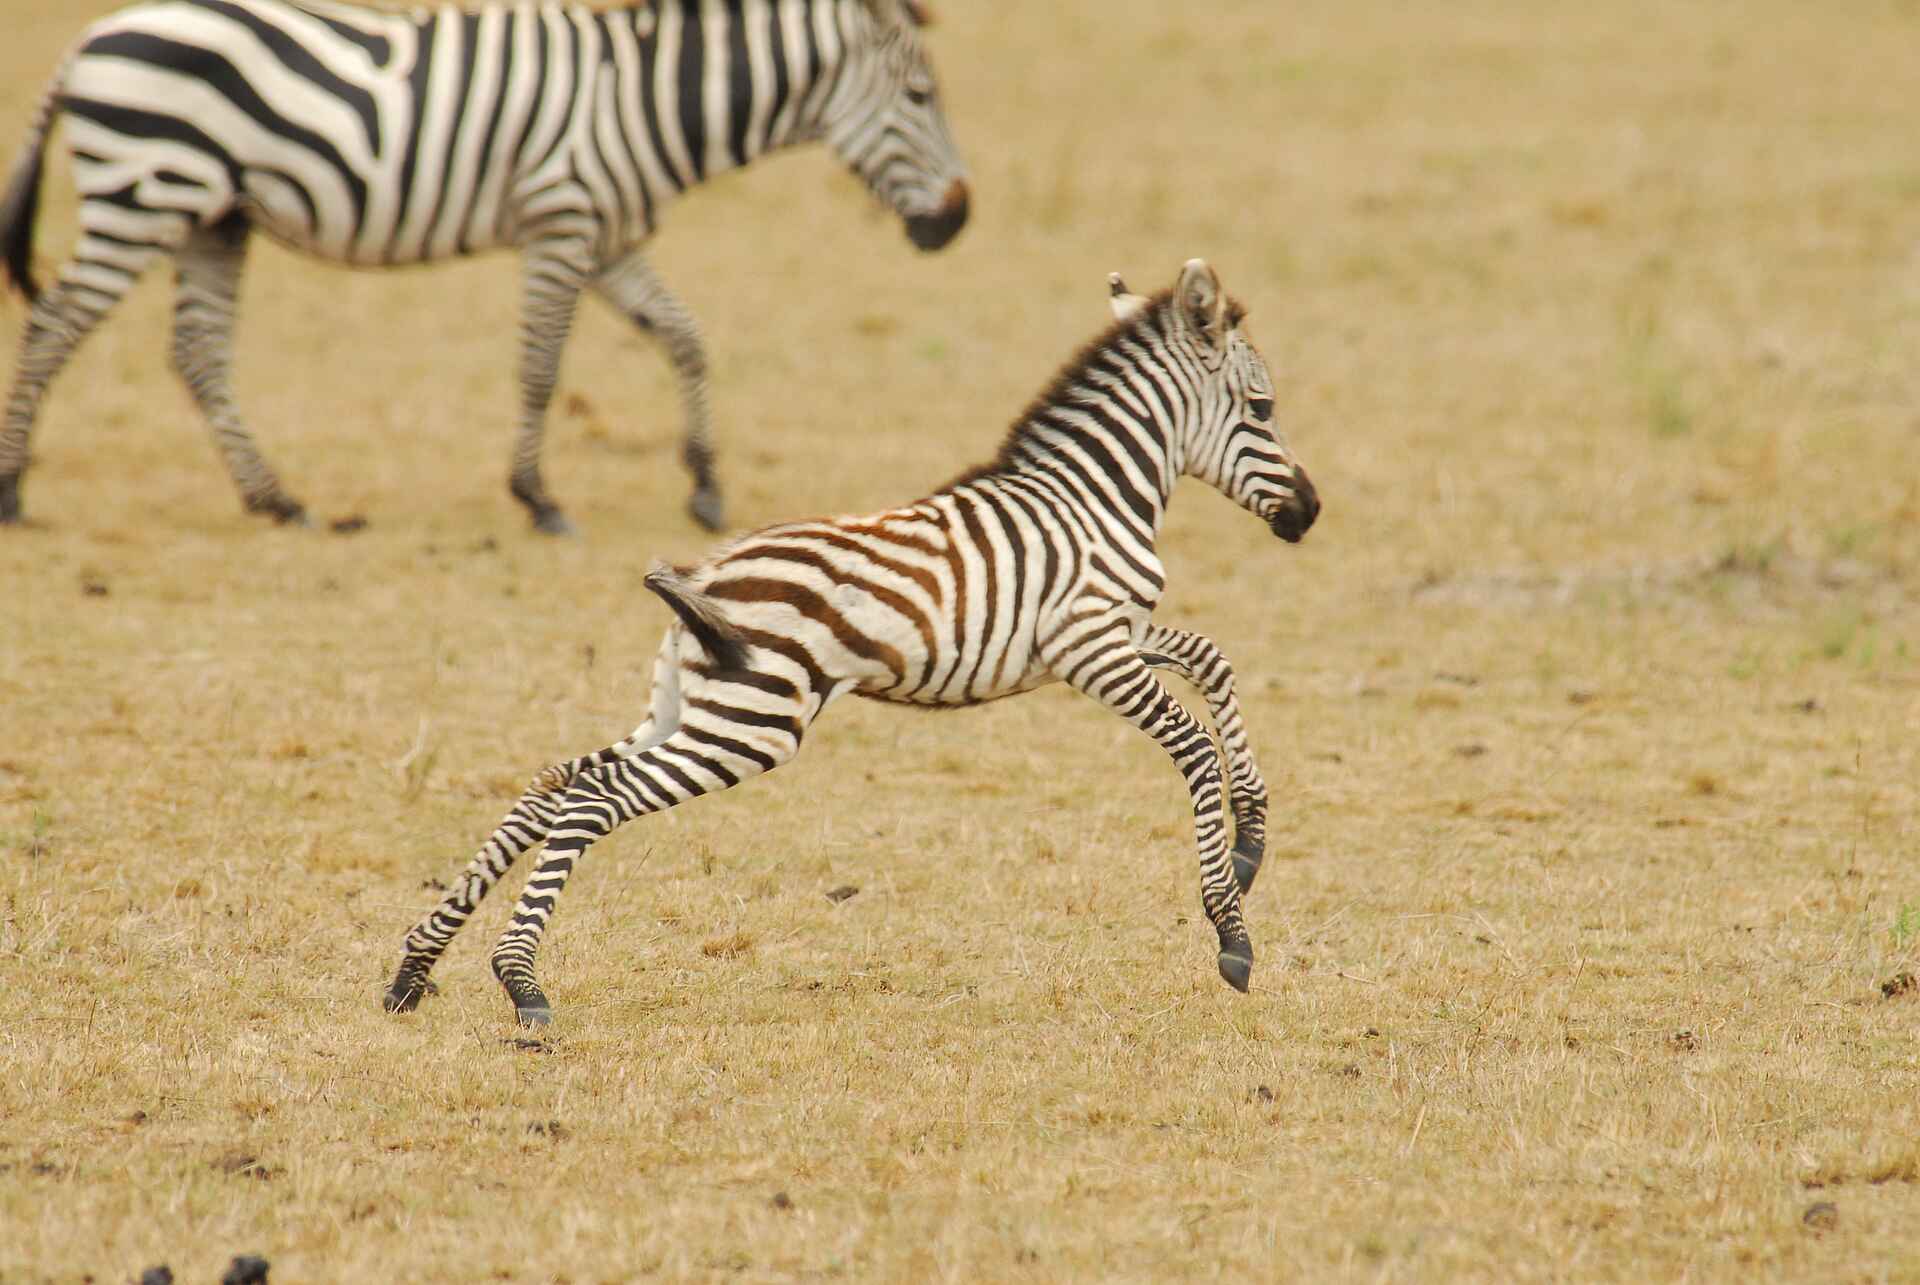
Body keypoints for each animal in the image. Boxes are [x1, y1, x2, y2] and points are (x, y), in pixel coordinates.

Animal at [0, 0, 968, 534]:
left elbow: (685, 338)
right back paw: (12, 488)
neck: (643, 99)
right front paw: (537, 497)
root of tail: (90, 37)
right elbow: (540, 367)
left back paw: (278, 500)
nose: (959, 220)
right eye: (921, 96)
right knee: (52, 325)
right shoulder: (562, 219)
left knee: (197, 353)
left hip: (213, 216)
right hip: (145, 193)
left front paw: (704, 484)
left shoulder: (611, 236)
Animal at [383, 258, 1320, 1025]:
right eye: (1264, 407)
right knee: (590, 798)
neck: (1092, 496)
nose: (1309, 513)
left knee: (553, 783)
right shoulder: (1091, 646)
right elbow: (1193, 745)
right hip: (750, 721)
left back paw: (416, 964)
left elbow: (1213, 660)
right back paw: (521, 982)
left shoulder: (1115, 633)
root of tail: (705, 571)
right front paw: (1231, 926)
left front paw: (1251, 837)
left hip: (689, 702)